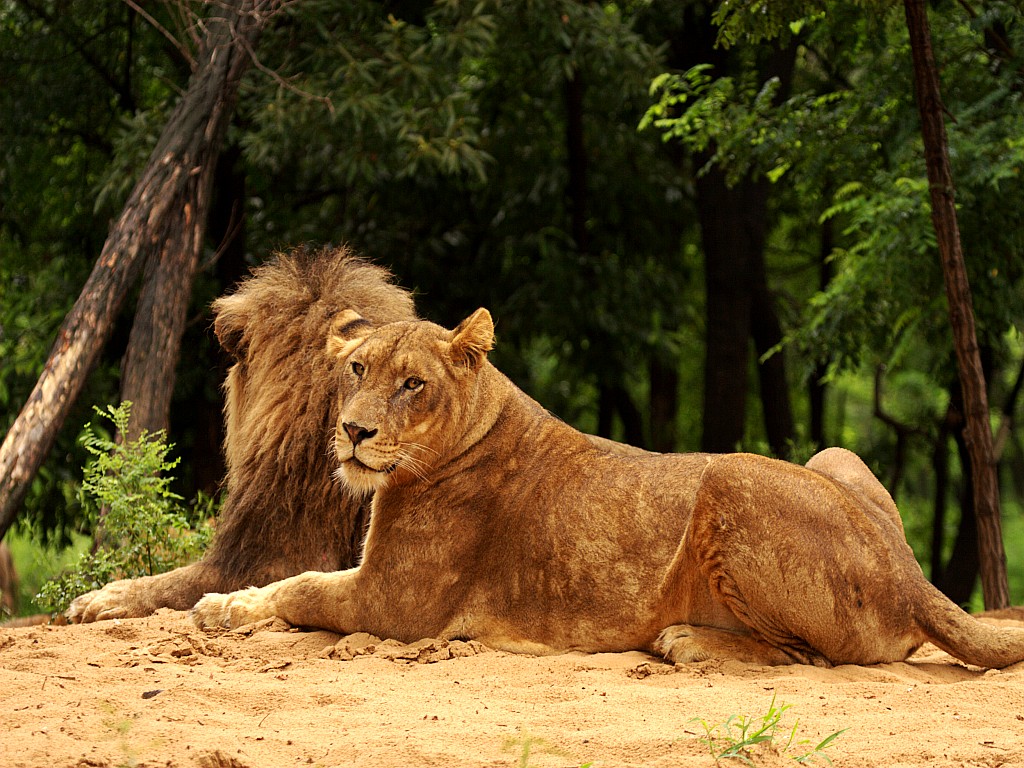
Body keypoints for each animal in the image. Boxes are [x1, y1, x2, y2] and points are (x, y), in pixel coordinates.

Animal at [190, 309, 1024, 671]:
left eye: (412, 383)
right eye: (357, 369)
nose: (354, 432)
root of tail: (913, 578)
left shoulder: (395, 604)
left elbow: (302, 589)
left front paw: (227, 609)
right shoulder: (378, 584)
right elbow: (292, 579)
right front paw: (224, 603)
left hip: (729, 473)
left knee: (809, 658)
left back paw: (685, 640)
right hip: (834, 452)